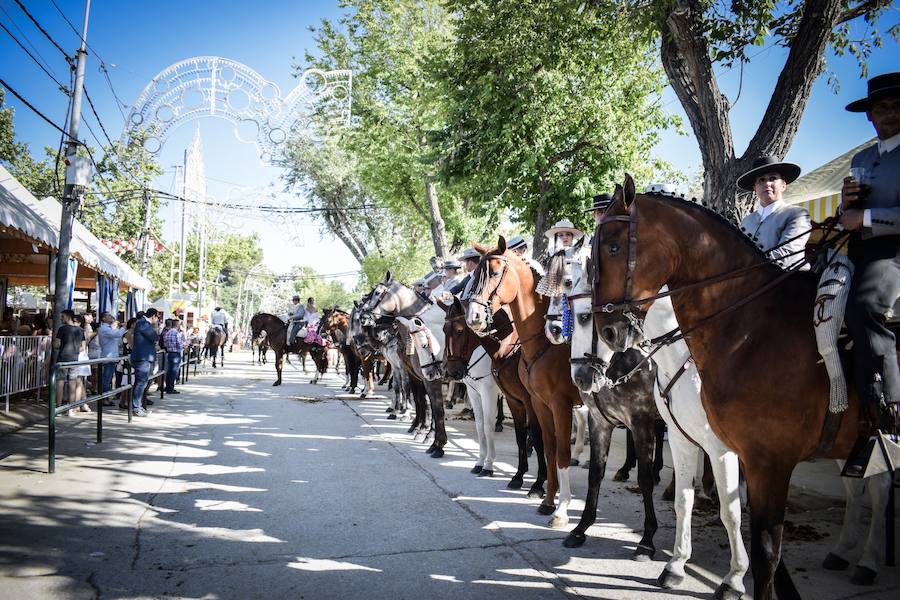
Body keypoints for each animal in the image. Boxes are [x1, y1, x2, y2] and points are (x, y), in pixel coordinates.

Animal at [444, 296, 548, 496]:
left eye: (460, 331)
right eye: (445, 330)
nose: (452, 372)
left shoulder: (490, 391)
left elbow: (487, 426)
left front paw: (488, 466)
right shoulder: (475, 391)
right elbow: (480, 426)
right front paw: (480, 463)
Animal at [592, 175, 884, 600]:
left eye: (613, 245)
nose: (609, 332)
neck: (748, 328)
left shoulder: (756, 457)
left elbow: (750, 531)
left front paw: (734, 578)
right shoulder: (689, 439)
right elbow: (686, 499)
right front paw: (677, 565)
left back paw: (867, 561)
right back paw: (845, 553)